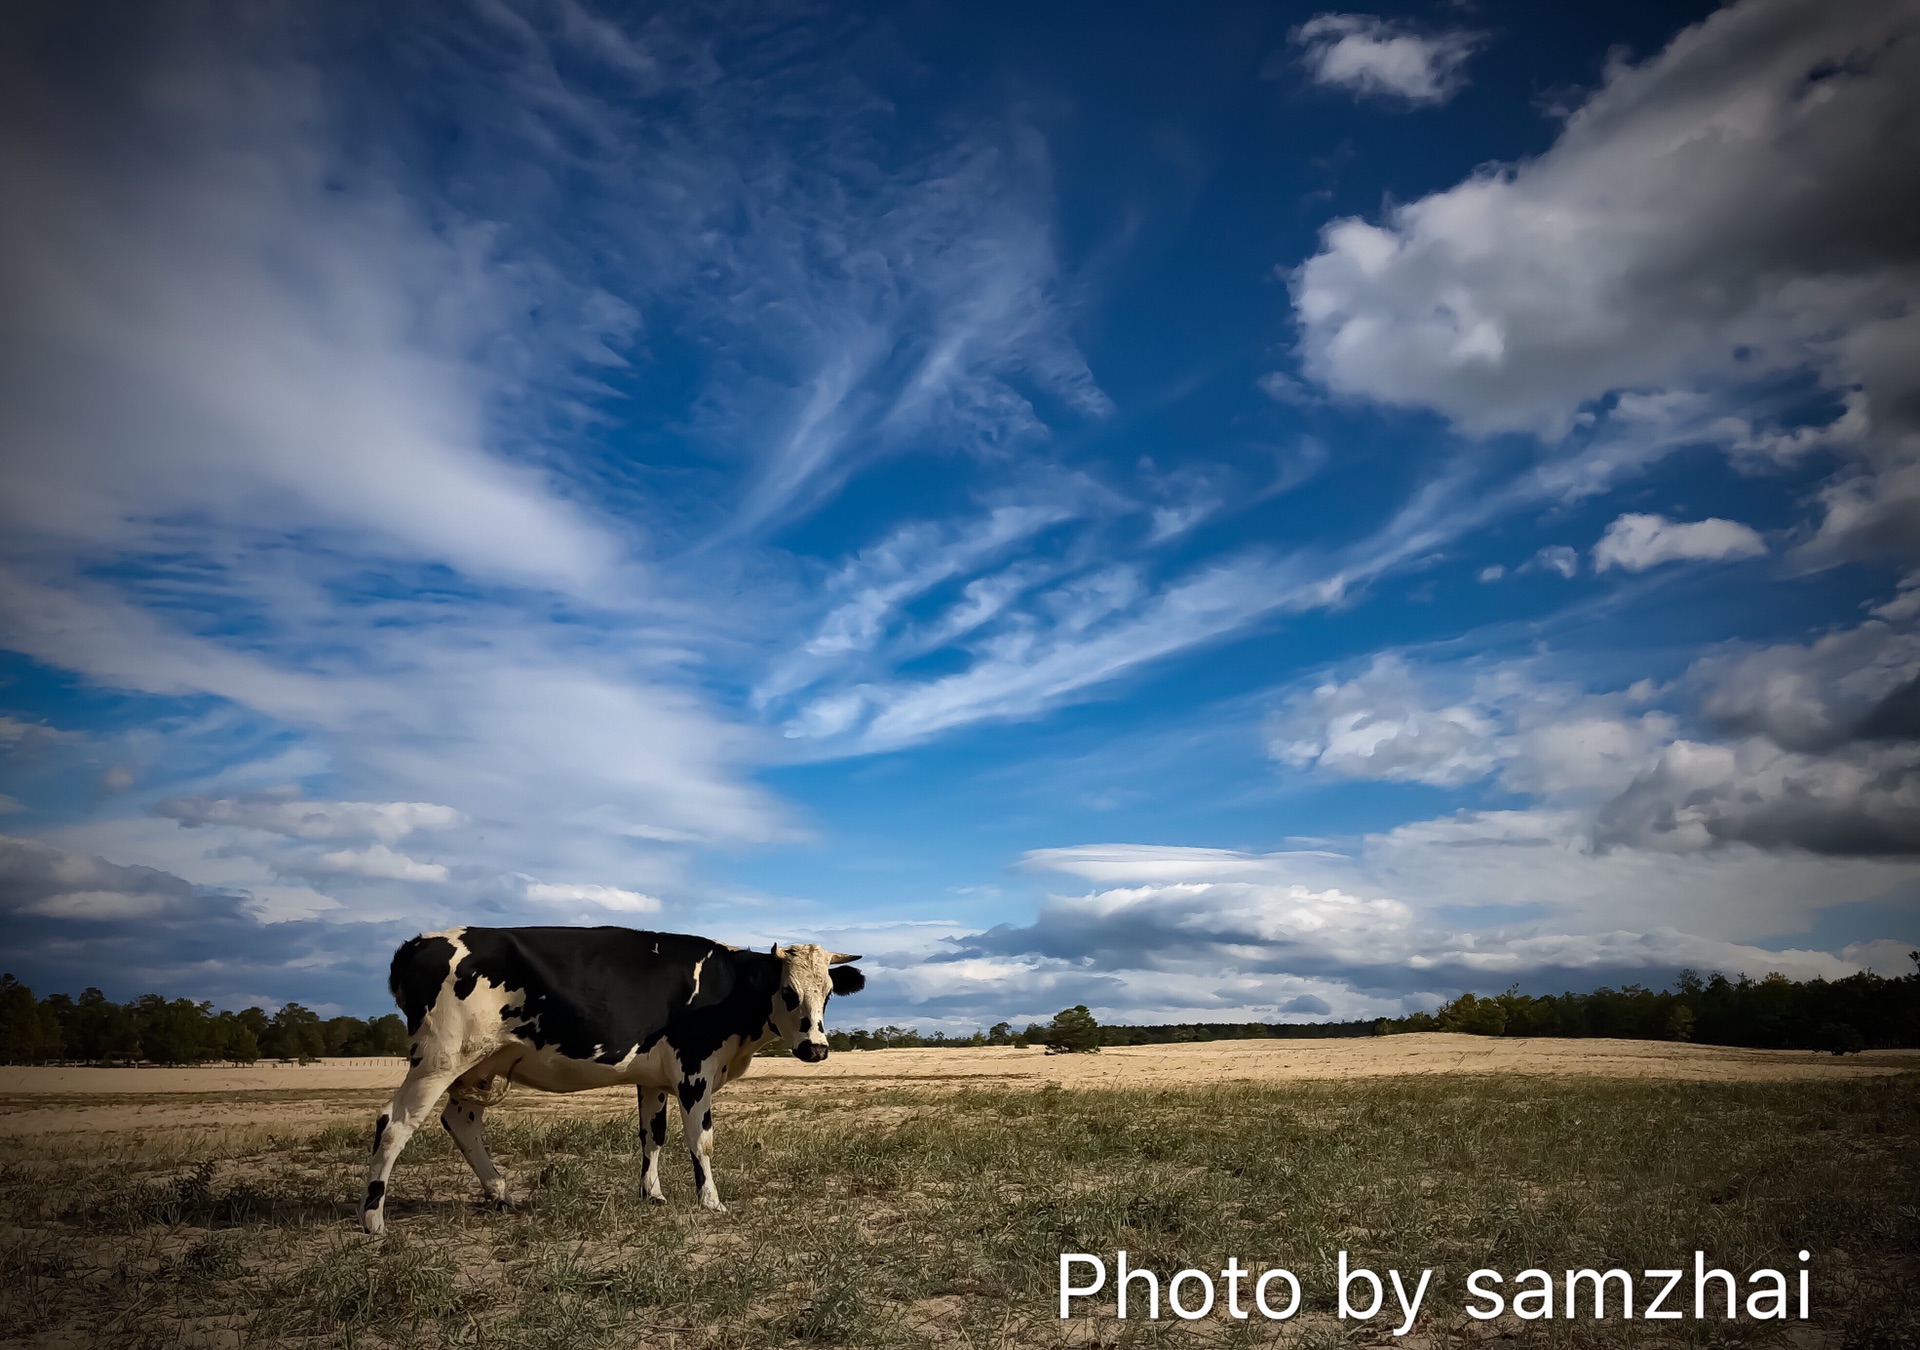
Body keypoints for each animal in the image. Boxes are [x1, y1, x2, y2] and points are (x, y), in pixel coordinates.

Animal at [359, 929, 864, 1236]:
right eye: (788, 992)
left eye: (829, 994)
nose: (817, 1049)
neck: (729, 989)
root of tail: (415, 945)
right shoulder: (694, 1071)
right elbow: (701, 1140)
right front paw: (710, 1201)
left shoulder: (653, 1078)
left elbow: (652, 1136)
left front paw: (652, 1195)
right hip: (439, 1058)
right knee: (393, 1124)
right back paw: (373, 1220)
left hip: (478, 1064)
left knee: (460, 1122)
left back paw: (500, 1193)